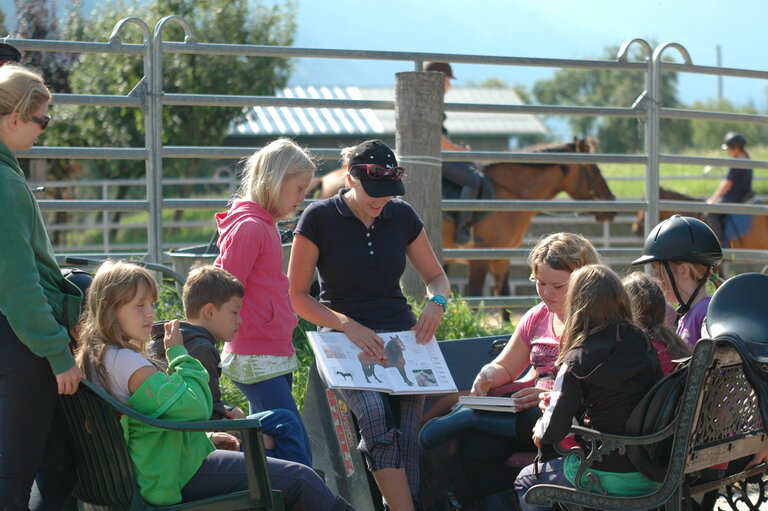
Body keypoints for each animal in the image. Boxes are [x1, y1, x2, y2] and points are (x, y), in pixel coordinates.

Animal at [308, 139, 616, 304]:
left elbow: (503, 298)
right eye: (592, 169)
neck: (507, 194)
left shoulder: (501, 258)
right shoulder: (480, 257)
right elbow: (478, 295)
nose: (611, 204)